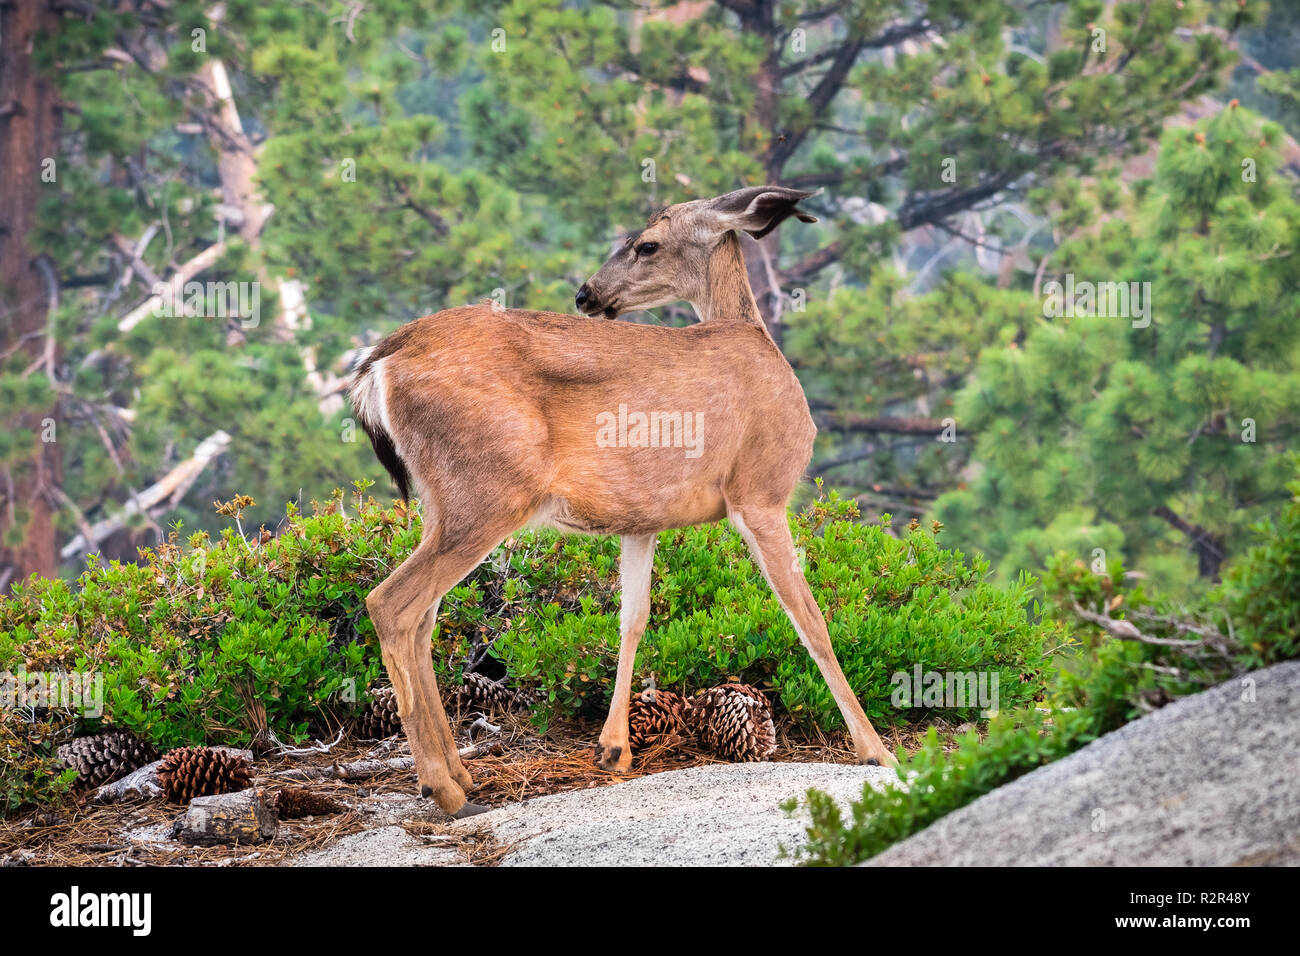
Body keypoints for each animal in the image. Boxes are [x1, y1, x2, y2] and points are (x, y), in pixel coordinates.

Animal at [351, 184, 899, 816]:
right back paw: (443, 788)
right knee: (392, 603)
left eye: (647, 244)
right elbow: (811, 620)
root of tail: (380, 360)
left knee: (423, 617)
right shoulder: (760, 491)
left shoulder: (642, 519)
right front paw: (877, 751)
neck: (755, 340)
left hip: (444, 503)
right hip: (488, 492)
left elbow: (632, 618)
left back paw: (461, 775)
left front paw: (614, 750)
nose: (586, 294)